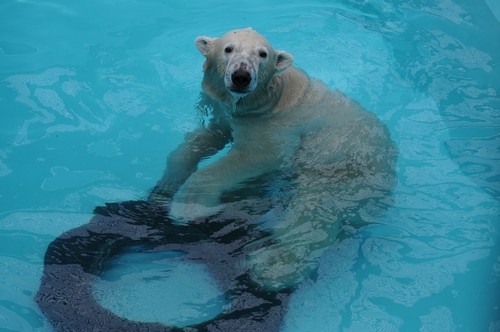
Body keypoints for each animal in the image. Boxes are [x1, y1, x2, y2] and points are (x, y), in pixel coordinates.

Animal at [152, 28, 398, 290]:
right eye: (228, 49)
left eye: (263, 54)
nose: (241, 76)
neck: (268, 97)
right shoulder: (226, 113)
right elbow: (205, 138)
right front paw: (166, 185)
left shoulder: (272, 125)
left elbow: (256, 155)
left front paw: (189, 205)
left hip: (336, 154)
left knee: (315, 208)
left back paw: (272, 267)